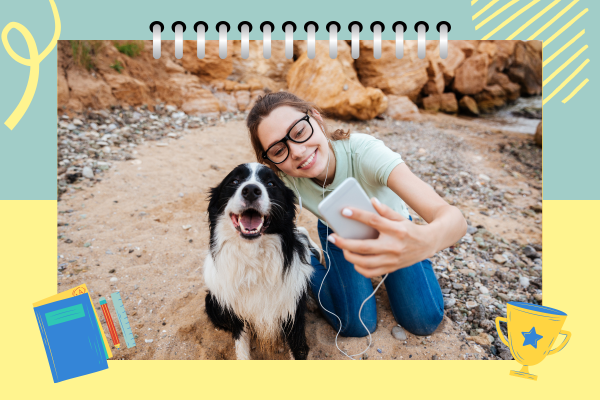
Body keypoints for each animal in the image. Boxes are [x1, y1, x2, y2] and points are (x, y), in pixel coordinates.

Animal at [204, 162, 318, 360]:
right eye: (234, 181)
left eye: (271, 184)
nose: (250, 190)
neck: (253, 258)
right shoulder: (237, 314)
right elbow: (242, 350)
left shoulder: (292, 315)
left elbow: (299, 349)